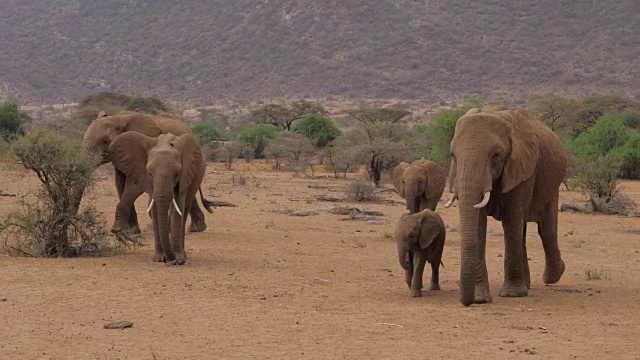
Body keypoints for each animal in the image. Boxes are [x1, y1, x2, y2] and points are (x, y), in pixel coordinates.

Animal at [81, 110, 212, 233]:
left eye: (105, 141)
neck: (118, 118)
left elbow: (135, 185)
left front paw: (118, 230)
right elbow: (120, 184)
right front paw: (132, 231)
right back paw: (196, 228)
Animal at [442, 106, 568, 306]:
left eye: (497, 155)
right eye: (452, 155)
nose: (466, 302)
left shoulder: (523, 168)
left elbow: (512, 219)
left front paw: (512, 294)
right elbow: (479, 225)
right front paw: (480, 298)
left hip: (552, 185)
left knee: (545, 229)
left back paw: (552, 277)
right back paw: (528, 284)